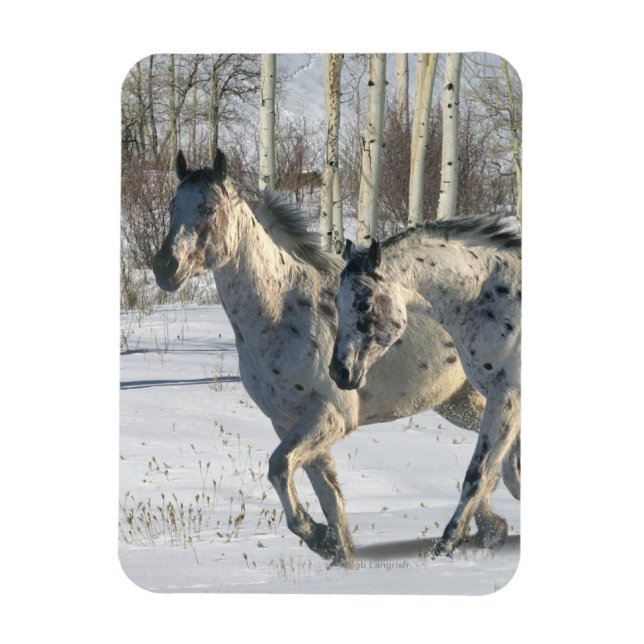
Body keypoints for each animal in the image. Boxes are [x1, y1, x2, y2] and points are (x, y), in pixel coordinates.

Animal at [152, 149, 488, 566]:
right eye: (172, 206)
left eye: (209, 208)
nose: (165, 267)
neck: (282, 311)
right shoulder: (289, 423)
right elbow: (331, 502)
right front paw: (333, 548)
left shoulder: (330, 415)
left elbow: (280, 468)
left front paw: (318, 537)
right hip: (459, 404)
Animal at [330, 216, 521, 556]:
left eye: (363, 304)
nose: (340, 372)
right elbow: (508, 470)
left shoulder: (506, 396)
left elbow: (479, 472)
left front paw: (446, 544)